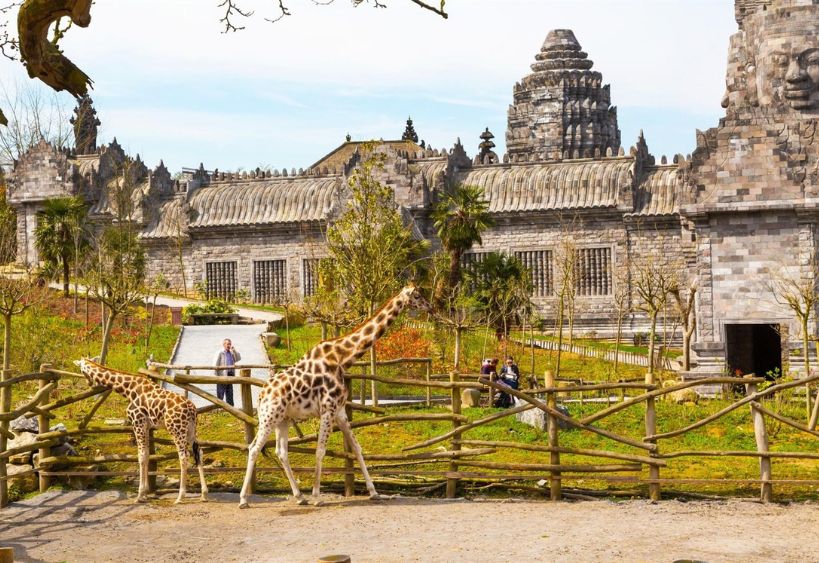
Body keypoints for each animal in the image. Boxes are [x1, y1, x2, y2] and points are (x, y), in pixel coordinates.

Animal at [73, 358, 208, 504]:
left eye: (81, 369)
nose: (89, 383)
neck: (128, 389)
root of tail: (192, 409)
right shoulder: (146, 426)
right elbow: (147, 455)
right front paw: (145, 493)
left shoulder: (137, 423)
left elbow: (141, 456)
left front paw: (140, 495)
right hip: (191, 430)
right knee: (198, 452)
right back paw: (204, 494)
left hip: (176, 429)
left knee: (184, 456)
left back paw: (180, 497)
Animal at [239, 284, 429, 509]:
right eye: (417, 296)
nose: (430, 306)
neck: (343, 359)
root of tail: (261, 396)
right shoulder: (328, 409)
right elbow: (320, 450)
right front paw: (317, 496)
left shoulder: (339, 411)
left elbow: (357, 448)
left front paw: (374, 493)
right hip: (268, 418)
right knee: (253, 448)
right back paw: (244, 499)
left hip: (282, 420)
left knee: (281, 452)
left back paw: (299, 496)